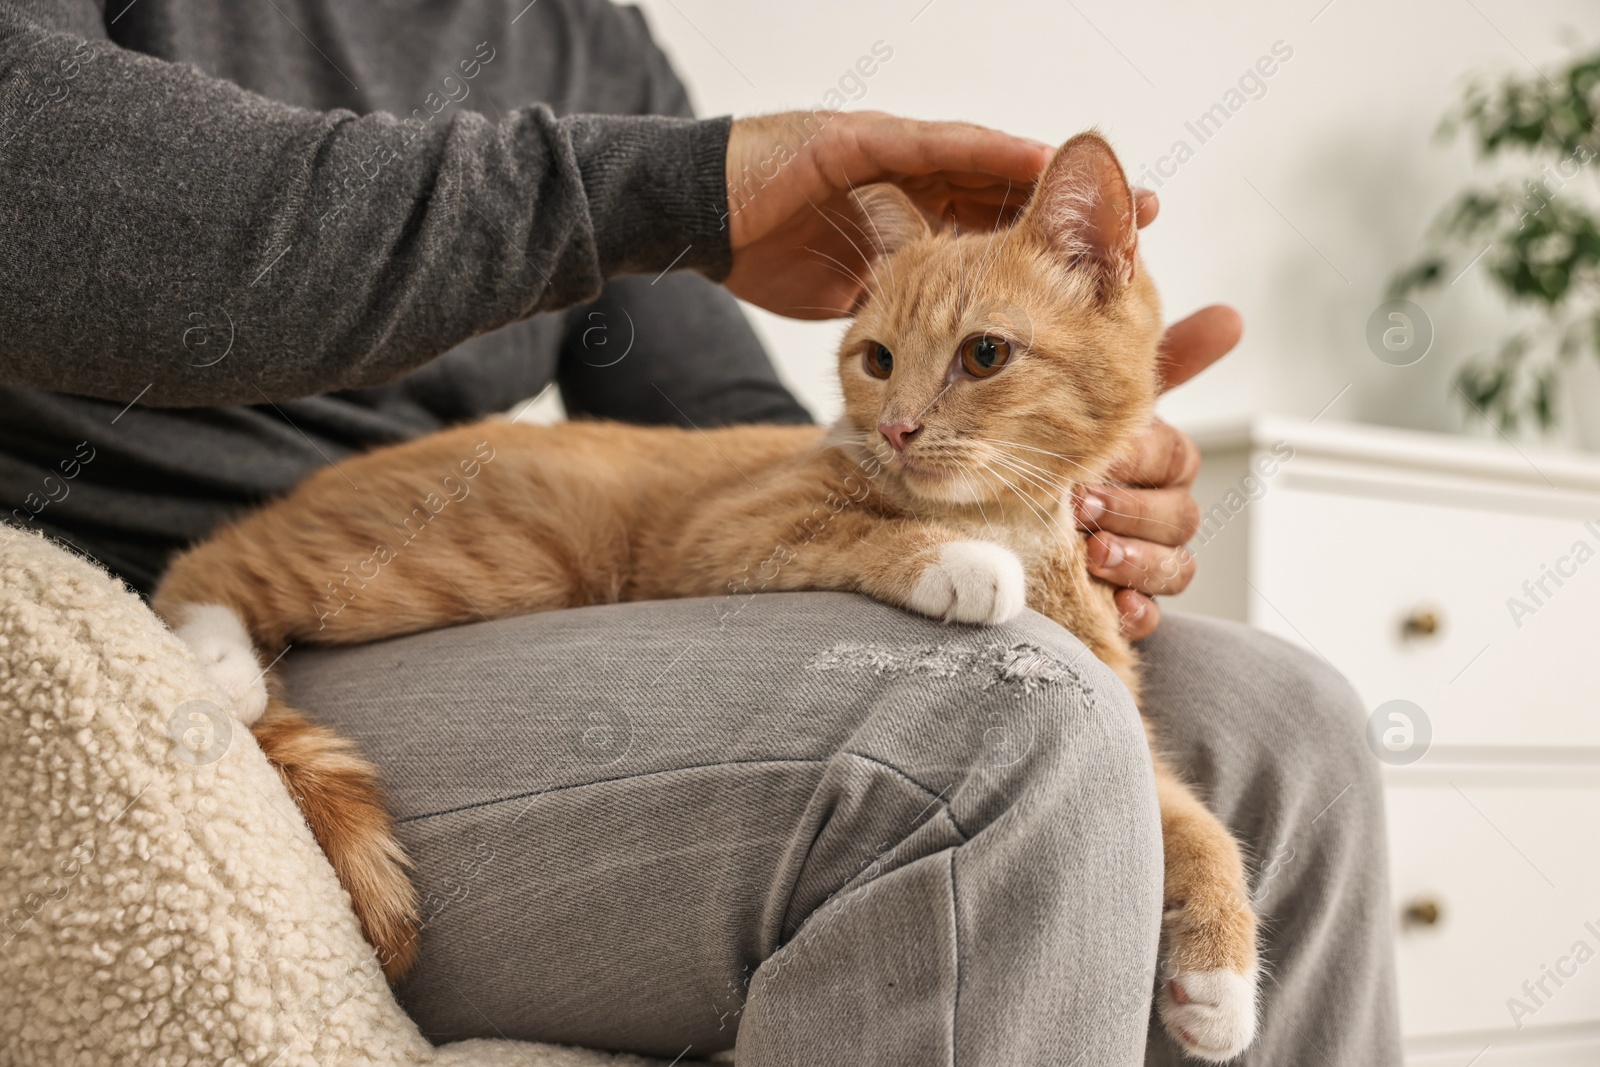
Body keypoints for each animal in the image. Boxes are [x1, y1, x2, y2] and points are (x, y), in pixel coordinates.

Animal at [159, 133, 1260, 1062]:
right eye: (878, 359)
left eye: (984, 354)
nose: (897, 428)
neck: (1016, 513)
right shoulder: (728, 531)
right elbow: (868, 533)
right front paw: (963, 561)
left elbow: (1195, 820)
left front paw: (1219, 980)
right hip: (489, 554)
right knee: (206, 562)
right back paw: (215, 659)